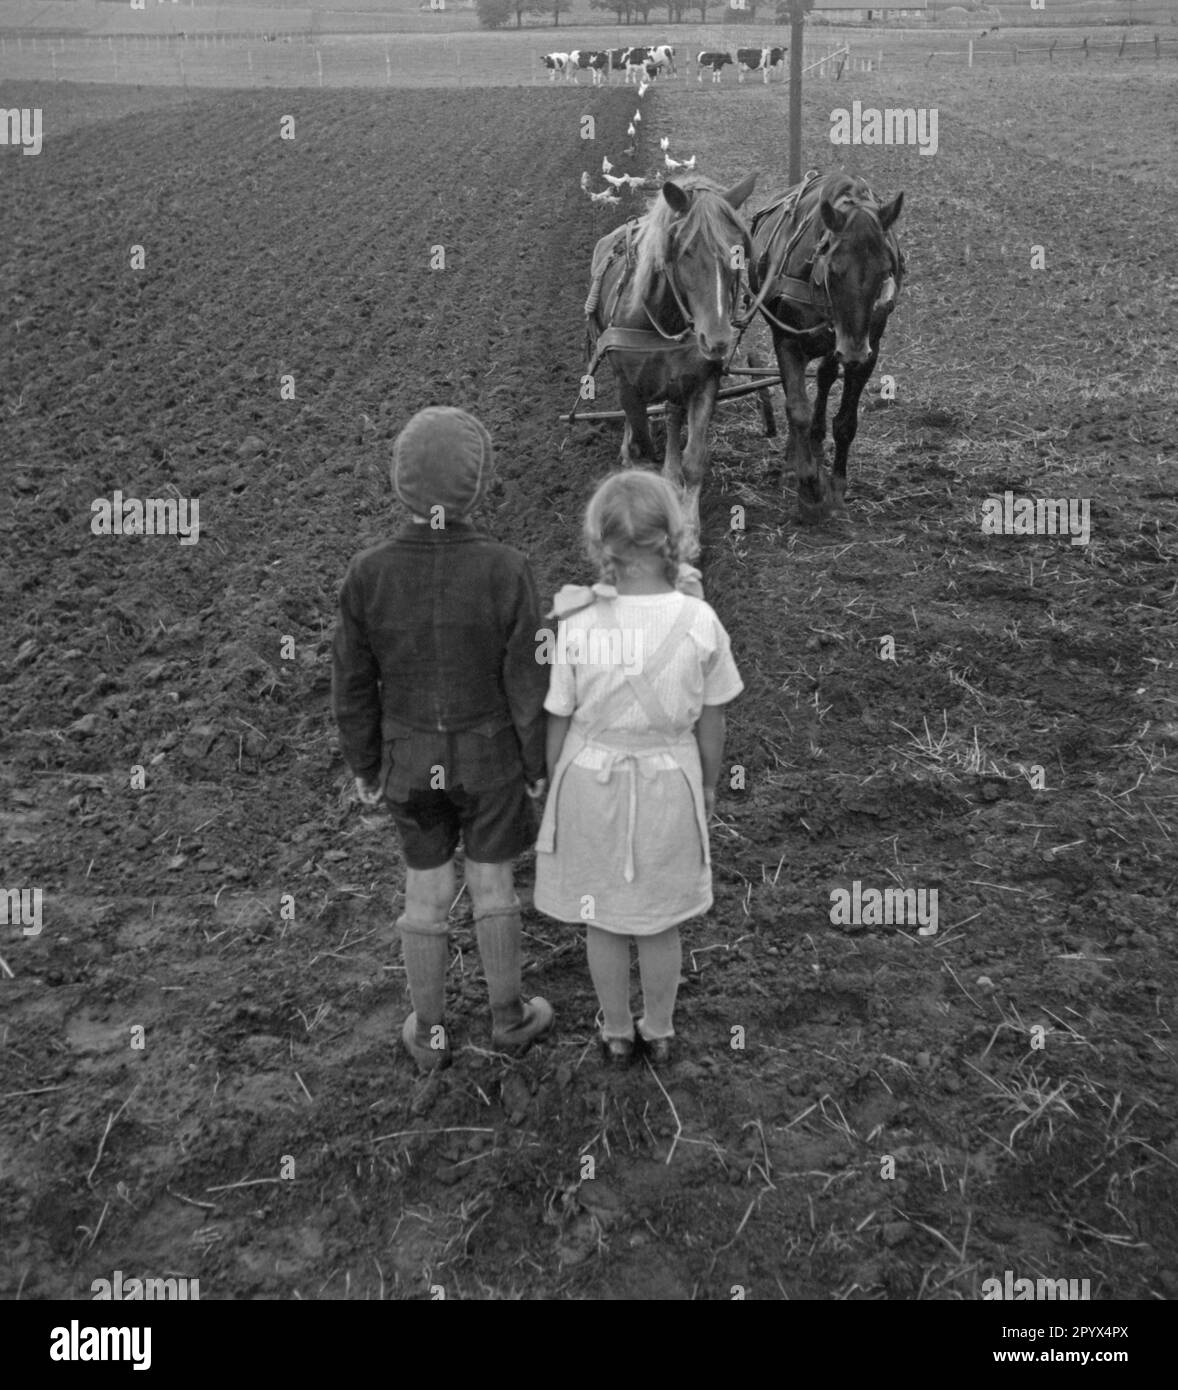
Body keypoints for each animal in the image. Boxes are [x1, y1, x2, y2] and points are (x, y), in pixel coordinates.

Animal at [584, 173, 762, 558]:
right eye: (686, 251)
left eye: (738, 251)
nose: (718, 339)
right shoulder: (629, 387)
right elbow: (642, 448)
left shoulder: (703, 381)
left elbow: (693, 459)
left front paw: (689, 533)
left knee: (672, 416)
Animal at [751, 169, 906, 522]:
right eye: (834, 268)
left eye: (884, 270)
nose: (852, 350)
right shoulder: (787, 341)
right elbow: (797, 409)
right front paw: (808, 486)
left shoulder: (868, 349)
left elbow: (846, 421)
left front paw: (835, 487)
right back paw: (796, 460)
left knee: (825, 377)